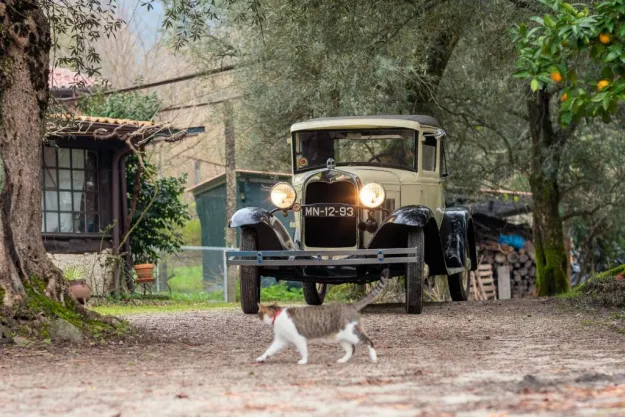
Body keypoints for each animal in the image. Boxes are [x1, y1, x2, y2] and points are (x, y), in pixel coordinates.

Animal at [254, 268, 386, 362]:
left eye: (259, 313)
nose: (257, 316)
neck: (278, 315)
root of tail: (350, 305)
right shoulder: (281, 340)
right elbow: (270, 350)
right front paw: (261, 358)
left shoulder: (298, 338)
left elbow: (303, 350)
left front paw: (303, 361)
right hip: (342, 336)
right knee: (351, 349)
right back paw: (343, 360)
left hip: (352, 333)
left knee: (368, 341)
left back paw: (374, 358)